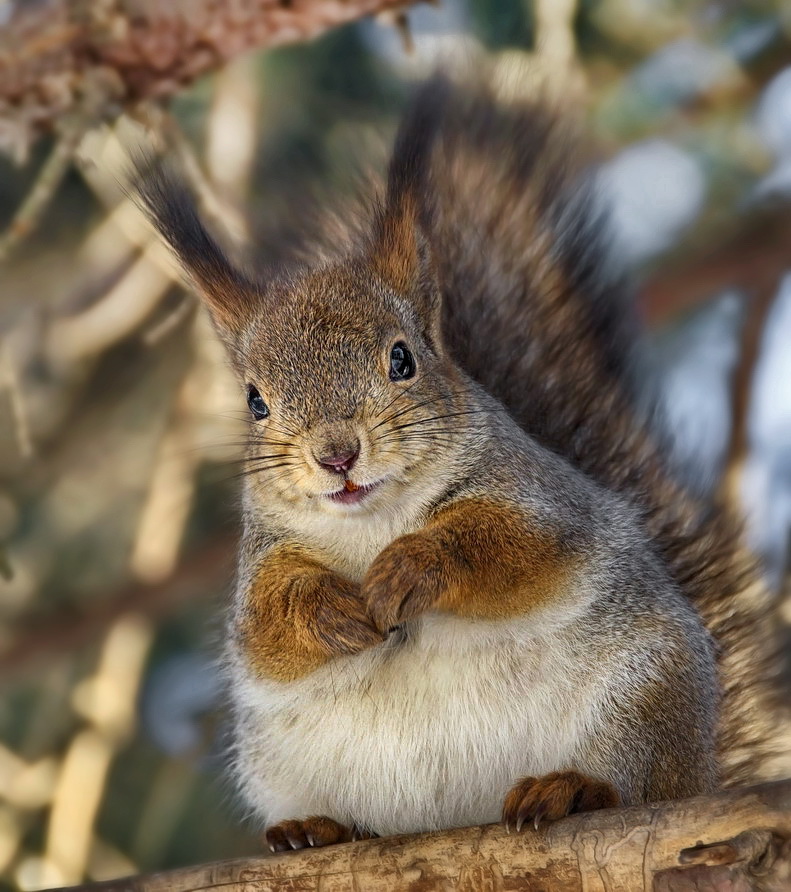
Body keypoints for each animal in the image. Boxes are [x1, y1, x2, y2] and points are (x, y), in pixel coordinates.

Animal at [135, 73, 780, 848]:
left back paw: (573, 790)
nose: (336, 455)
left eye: (402, 359)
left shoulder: (541, 499)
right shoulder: (263, 561)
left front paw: (415, 567)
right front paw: (329, 611)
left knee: (637, 783)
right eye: (255, 401)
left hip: (645, 693)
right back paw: (317, 829)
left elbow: (516, 546)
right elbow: (265, 625)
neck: (373, 522)